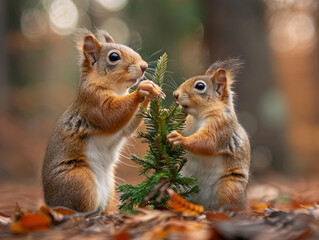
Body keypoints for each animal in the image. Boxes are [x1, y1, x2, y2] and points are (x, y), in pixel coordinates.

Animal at [42, 28, 165, 212]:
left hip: (109, 188)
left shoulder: (124, 126)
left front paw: (153, 93)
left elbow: (127, 127)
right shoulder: (93, 102)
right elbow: (110, 116)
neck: (117, 90)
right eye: (114, 57)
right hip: (79, 180)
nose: (143, 66)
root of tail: (50, 205)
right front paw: (142, 90)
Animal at [166, 59, 251, 211]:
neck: (199, 115)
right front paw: (165, 113)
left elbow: (208, 142)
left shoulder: (220, 125)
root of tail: (203, 205)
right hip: (178, 188)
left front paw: (179, 138)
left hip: (229, 186)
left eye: (200, 86)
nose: (175, 94)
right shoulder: (188, 123)